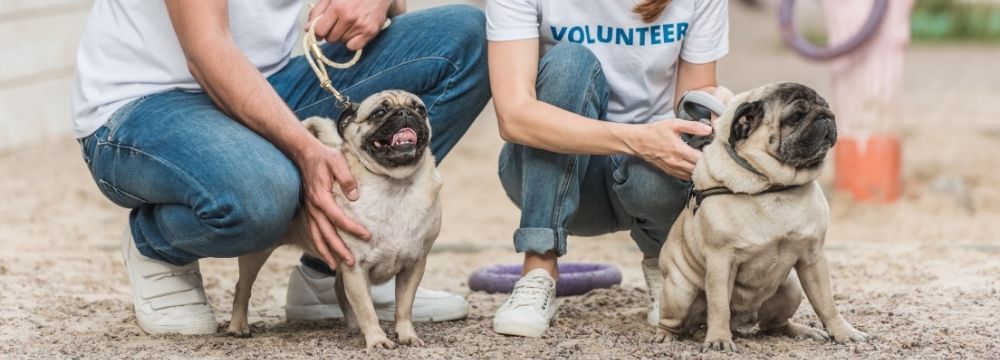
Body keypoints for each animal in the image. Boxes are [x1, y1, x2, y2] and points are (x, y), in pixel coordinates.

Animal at [230, 89, 442, 348]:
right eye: (379, 113)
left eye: (420, 110)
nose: (405, 113)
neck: (394, 186)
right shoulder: (356, 267)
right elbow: (367, 309)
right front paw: (377, 340)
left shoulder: (414, 265)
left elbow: (403, 306)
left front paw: (407, 335)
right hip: (258, 252)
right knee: (243, 287)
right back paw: (238, 327)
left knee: (339, 290)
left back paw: (353, 325)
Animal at [656, 81, 868, 352]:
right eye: (795, 117)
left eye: (826, 106)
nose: (825, 116)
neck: (773, 187)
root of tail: (742, 321)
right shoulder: (720, 262)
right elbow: (719, 307)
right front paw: (719, 340)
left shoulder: (813, 258)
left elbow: (827, 303)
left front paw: (843, 333)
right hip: (679, 293)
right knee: (674, 320)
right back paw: (667, 336)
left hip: (791, 287)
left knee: (774, 325)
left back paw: (803, 331)